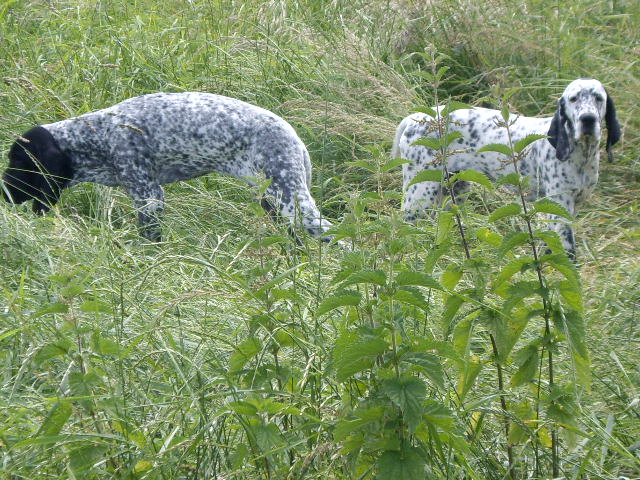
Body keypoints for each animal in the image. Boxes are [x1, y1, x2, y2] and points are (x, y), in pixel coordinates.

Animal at [2, 93, 338, 244]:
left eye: (18, 162)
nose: (3, 191)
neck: (95, 135)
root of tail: (294, 138)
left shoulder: (149, 196)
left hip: (291, 202)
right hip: (274, 203)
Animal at [392, 79, 624, 258]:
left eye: (598, 98)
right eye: (574, 98)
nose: (588, 119)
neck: (581, 155)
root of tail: (413, 119)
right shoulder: (560, 207)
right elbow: (567, 252)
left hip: (454, 192)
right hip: (420, 194)